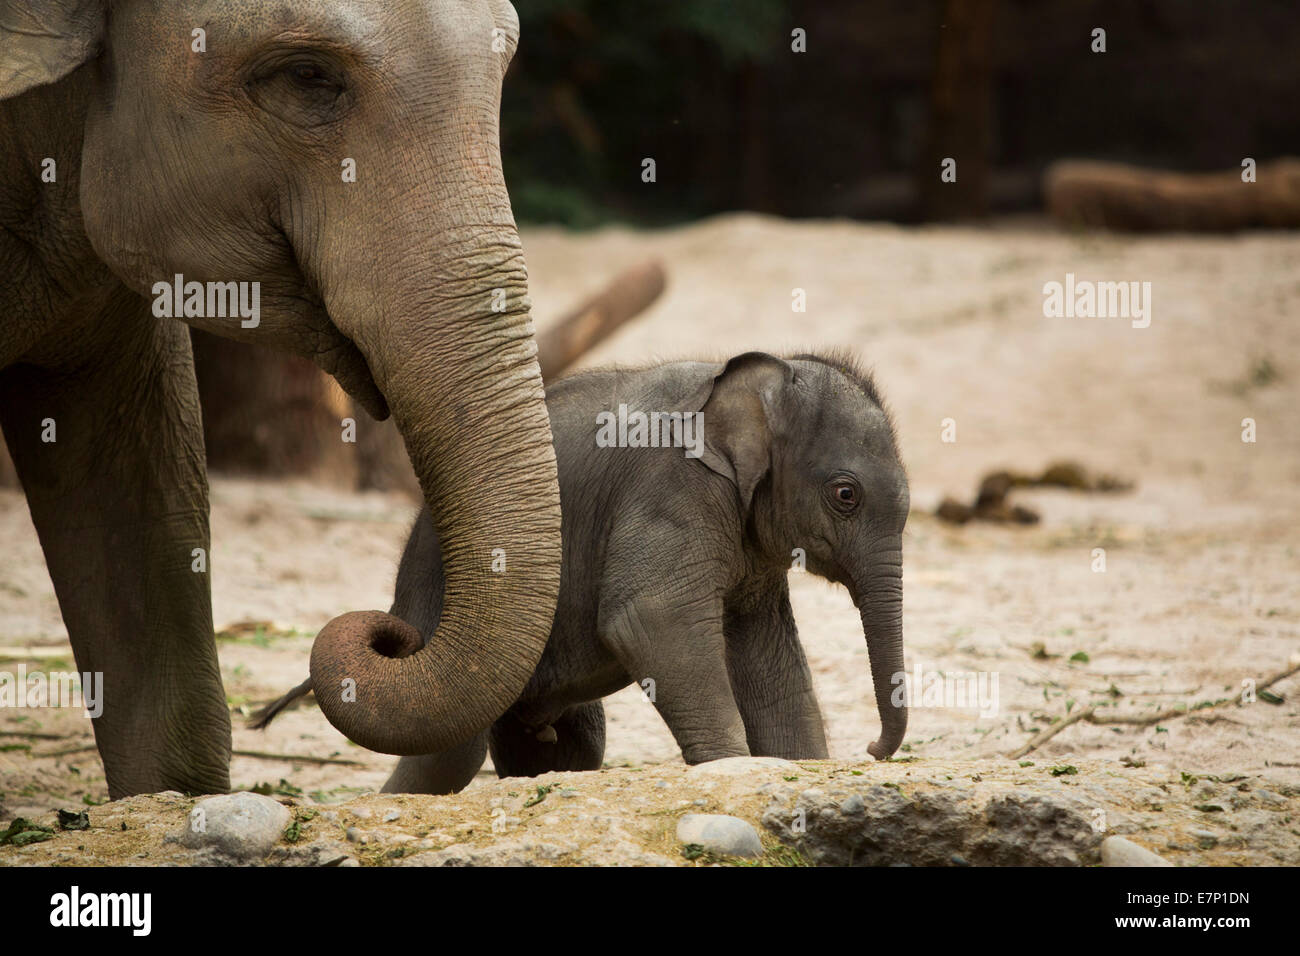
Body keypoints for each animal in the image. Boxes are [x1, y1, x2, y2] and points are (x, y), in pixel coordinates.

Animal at [253, 351, 904, 790]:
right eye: (845, 495)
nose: (873, 748)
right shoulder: (670, 491)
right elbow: (651, 621)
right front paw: (733, 770)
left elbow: (767, 654)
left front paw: (801, 771)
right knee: (449, 750)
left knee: (567, 744)